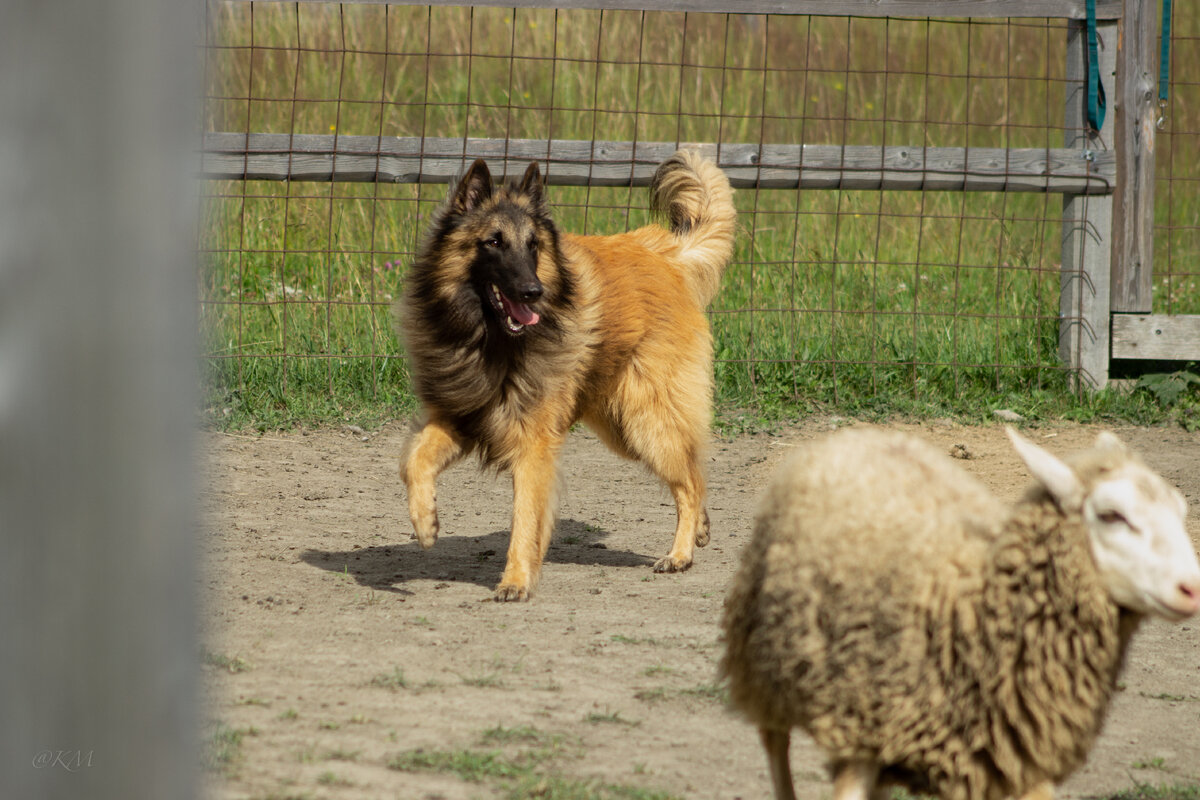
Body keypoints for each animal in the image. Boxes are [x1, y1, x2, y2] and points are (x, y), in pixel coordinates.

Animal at [398, 149, 734, 599]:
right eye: (493, 242)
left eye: (534, 245)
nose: (533, 292)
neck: (490, 340)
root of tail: (667, 255)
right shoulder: (458, 416)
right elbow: (412, 462)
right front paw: (426, 524)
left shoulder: (533, 444)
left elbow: (525, 516)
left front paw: (516, 580)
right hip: (622, 427)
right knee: (694, 471)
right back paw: (700, 529)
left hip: (646, 423)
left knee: (690, 481)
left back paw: (680, 554)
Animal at [720, 429, 1200, 800]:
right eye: (1111, 515)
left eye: (1180, 513)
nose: (1192, 588)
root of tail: (858, 432)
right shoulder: (861, 735)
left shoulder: (1009, 756)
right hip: (765, 660)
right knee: (775, 745)